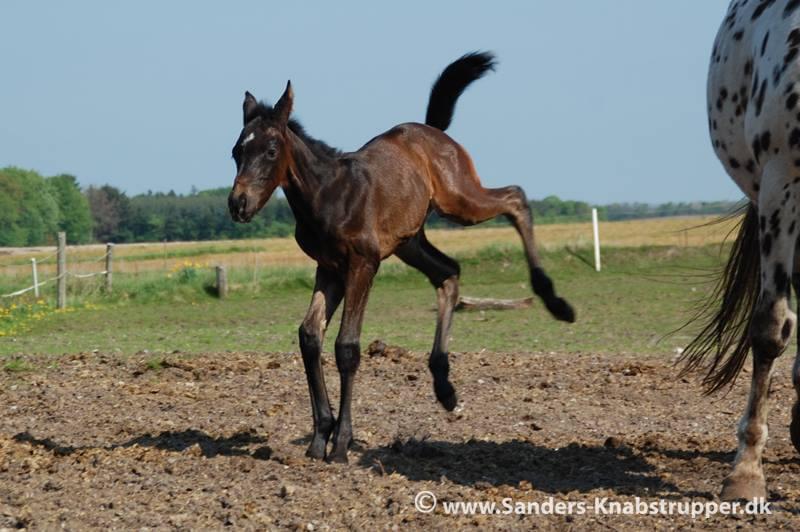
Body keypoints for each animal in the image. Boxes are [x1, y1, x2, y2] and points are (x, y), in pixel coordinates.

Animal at [228, 52, 572, 464]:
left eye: (270, 151)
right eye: (235, 152)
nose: (238, 204)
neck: (328, 194)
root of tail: (432, 131)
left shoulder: (363, 264)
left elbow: (347, 346)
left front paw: (341, 444)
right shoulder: (328, 267)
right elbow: (310, 336)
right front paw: (319, 438)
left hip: (459, 200)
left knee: (515, 197)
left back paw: (556, 302)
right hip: (411, 242)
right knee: (448, 271)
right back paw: (444, 387)